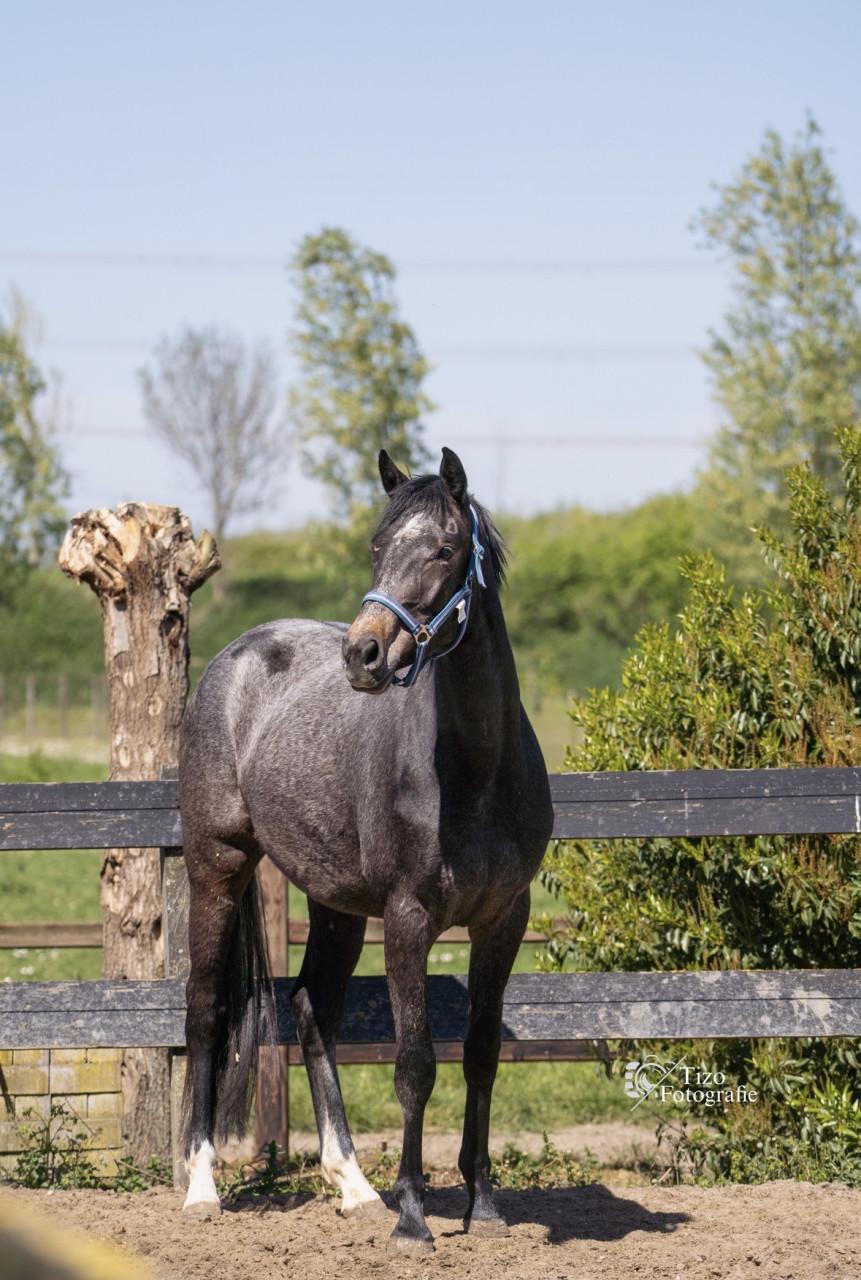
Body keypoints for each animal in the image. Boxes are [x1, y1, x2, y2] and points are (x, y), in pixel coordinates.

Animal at [178, 446, 553, 1250]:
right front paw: (414, 1215)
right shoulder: (409, 921)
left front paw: (483, 1205)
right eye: (378, 548)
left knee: (312, 1008)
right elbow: (415, 1063)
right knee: (204, 1009)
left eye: (443, 549)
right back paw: (200, 1186)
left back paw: (352, 1184)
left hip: (335, 903)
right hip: (217, 866)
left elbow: (480, 1055)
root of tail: (235, 658)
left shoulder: (502, 921)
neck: (475, 769)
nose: (364, 653)